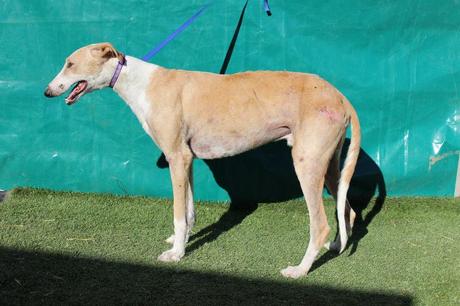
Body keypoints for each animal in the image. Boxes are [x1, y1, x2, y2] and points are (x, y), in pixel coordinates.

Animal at [44, 41, 360, 278]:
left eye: (70, 64)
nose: (47, 91)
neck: (143, 83)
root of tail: (341, 97)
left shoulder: (176, 157)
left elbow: (178, 214)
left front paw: (175, 254)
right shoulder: (188, 160)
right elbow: (189, 211)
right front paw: (180, 241)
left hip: (307, 165)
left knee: (320, 225)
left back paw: (299, 270)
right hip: (329, 167)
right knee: (349, 211)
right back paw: (337, 246)